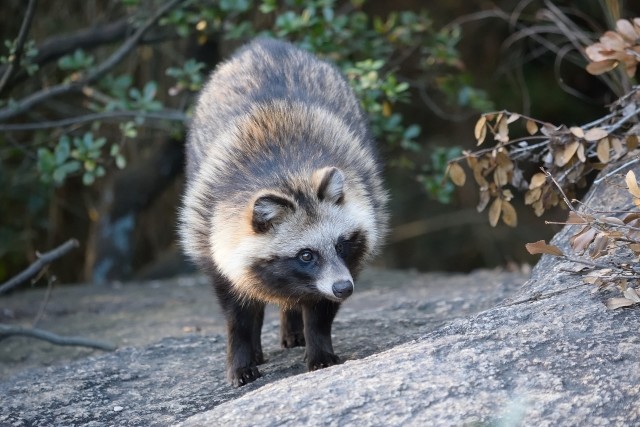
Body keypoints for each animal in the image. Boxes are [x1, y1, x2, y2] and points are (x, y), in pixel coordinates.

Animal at [180, 39, 390, 388]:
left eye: (340, 244)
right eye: (306, 255)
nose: (344, 289)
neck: (288, 176)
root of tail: (265, 44)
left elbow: (320, 308)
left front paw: (319, 345)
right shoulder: (208, 228)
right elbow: (237, 311)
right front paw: (241, 354)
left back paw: (293, 325)